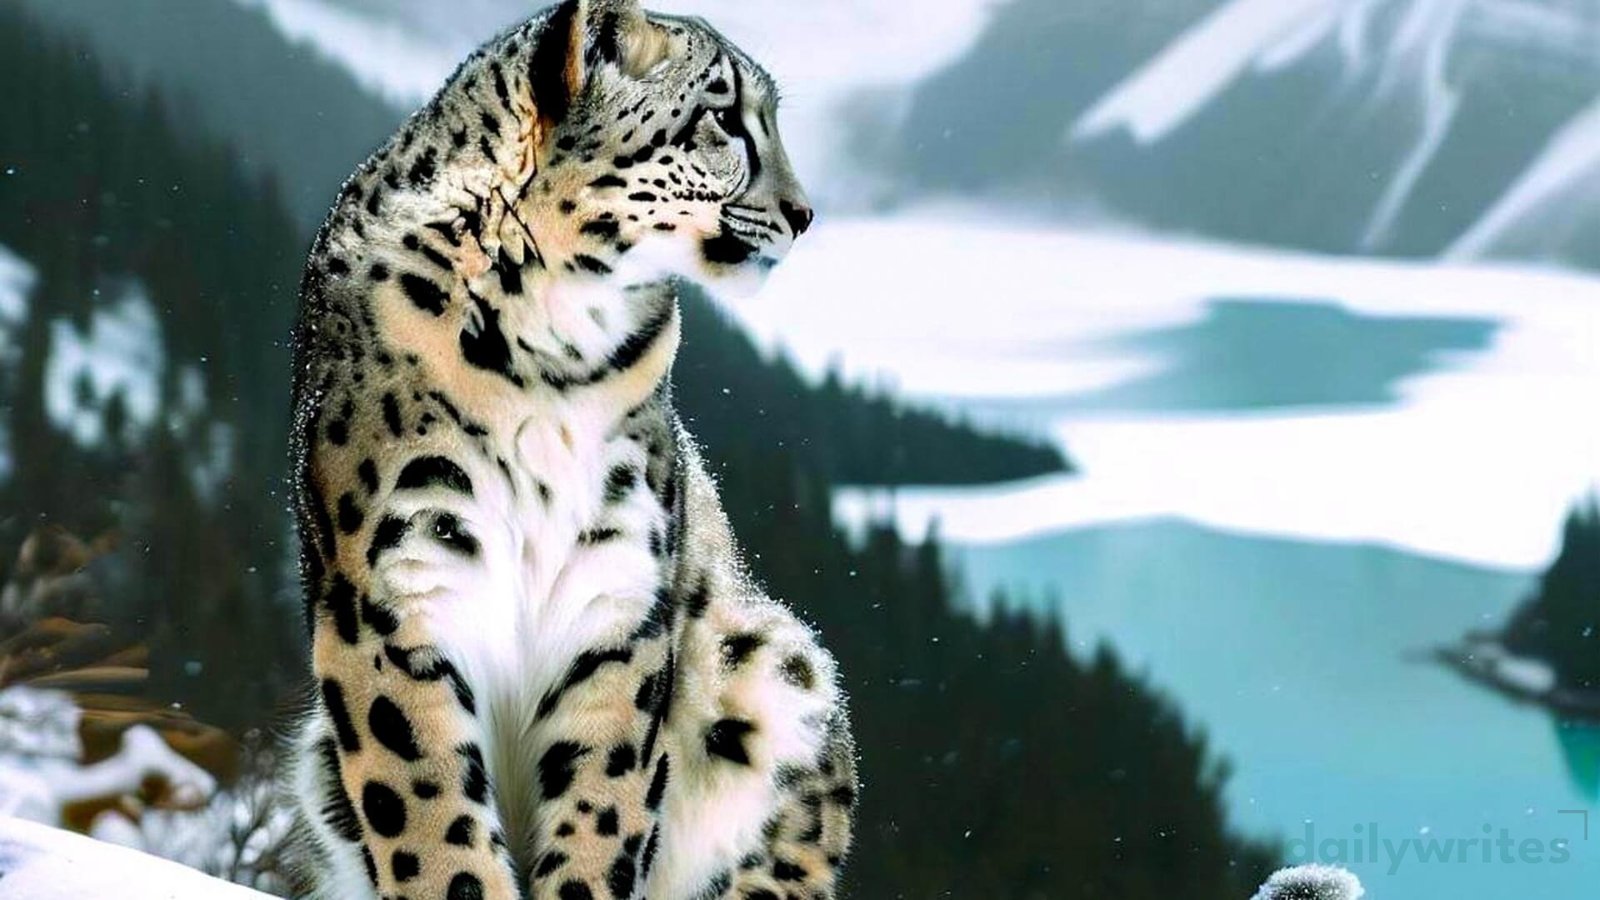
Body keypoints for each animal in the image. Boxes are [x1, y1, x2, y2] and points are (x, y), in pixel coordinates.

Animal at [282, 2, 856, 898]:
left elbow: (600, 803)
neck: (545, 349)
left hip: (775, 663)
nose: (803, 213)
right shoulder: (393, 588)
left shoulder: (618, 589)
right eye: (723, 116)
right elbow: (427, 814)